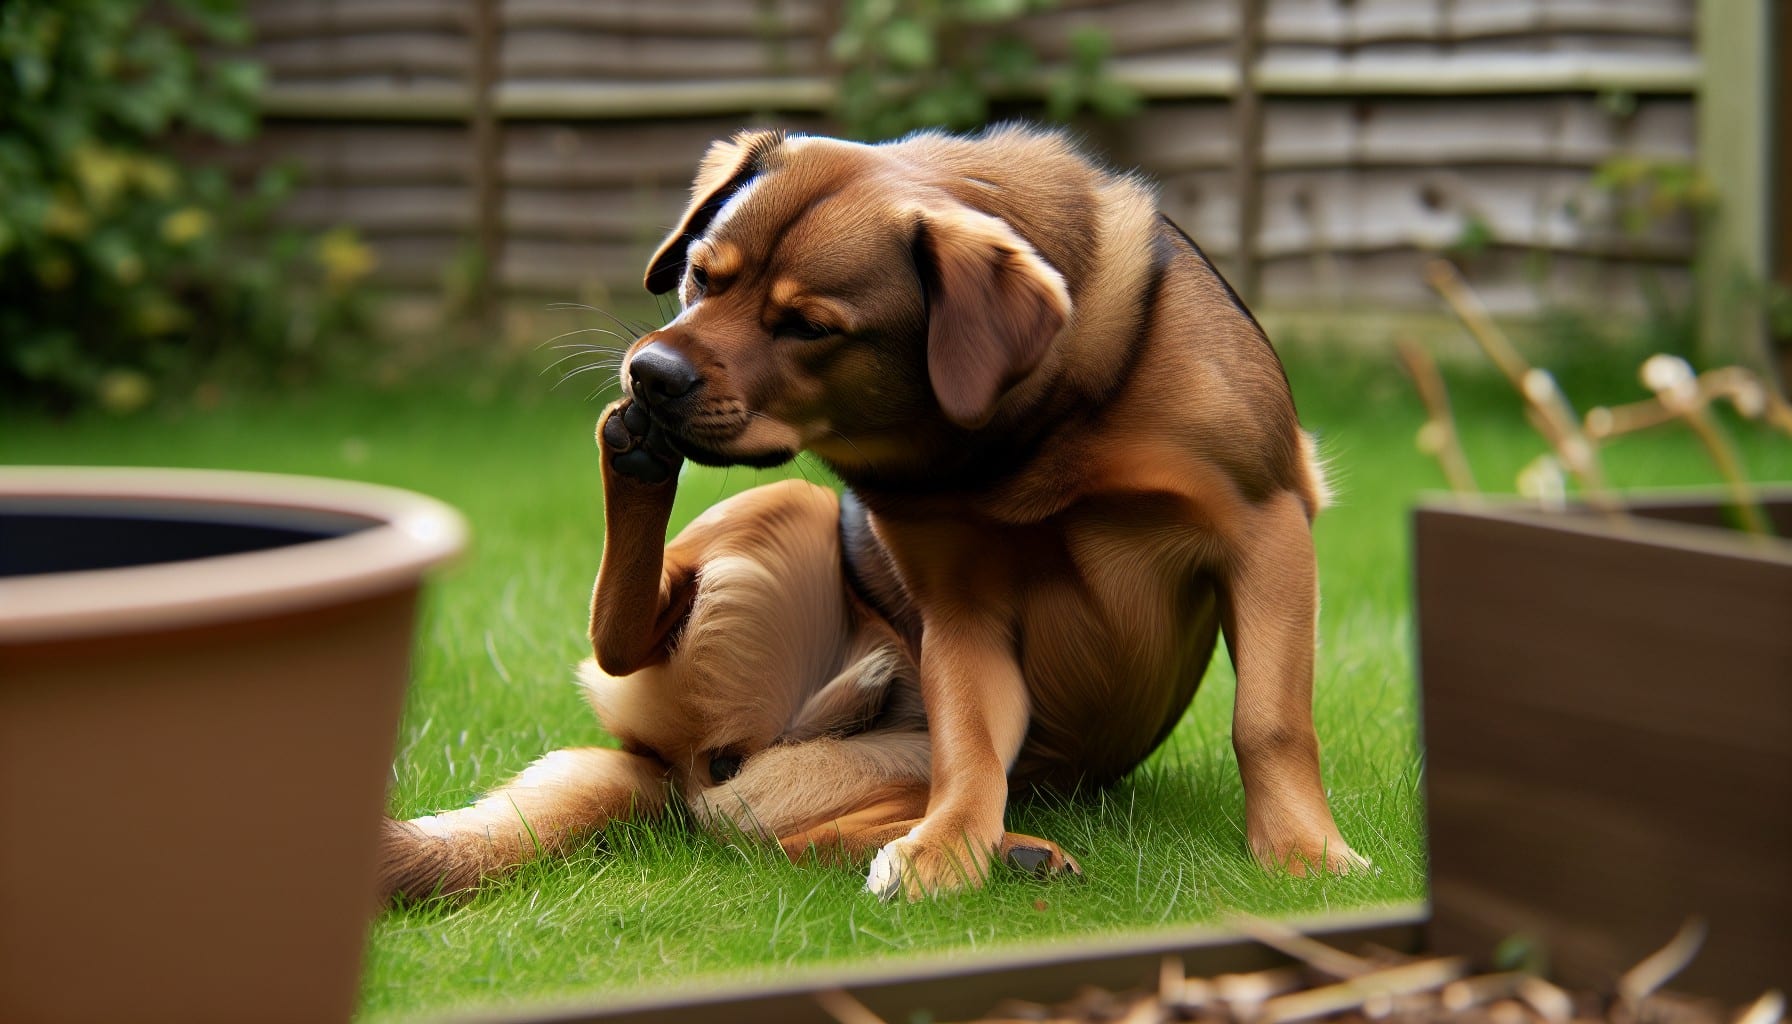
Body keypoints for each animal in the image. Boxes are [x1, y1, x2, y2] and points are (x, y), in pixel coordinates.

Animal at [381, 124, 1354, 900]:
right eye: (699, 274)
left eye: (808, 325)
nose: (650, 375)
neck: (1018, 434)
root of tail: (673, 771)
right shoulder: (961, 611)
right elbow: (971, 748)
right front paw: (951, 849)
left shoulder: (1266, 529)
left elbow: (1268, 720)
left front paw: (1304, 854)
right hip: (791, 507)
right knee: (629, 646)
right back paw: (634, 455)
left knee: (787, 836)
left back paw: (1010, 849)